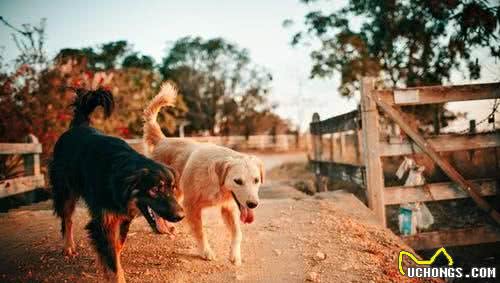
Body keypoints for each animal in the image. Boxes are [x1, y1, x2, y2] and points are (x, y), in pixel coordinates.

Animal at [49, 87, 184, 282]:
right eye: (154, 189)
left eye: (172, 188)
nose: (181, 216)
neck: (121, 177)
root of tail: (78, 126)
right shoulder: (103, 222)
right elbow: (112, 259)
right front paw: (114, 272)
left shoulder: (123, 217)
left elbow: (116, 247)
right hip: (65, 191)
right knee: (67, 219)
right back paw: (68, 246)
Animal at [142, 82, 264, 266]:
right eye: (238, 181)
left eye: (256, 180)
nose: (253, 204)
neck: (215, 182)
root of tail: (163, 139)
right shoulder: (191, 206)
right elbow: (200, 232)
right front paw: (205, 251)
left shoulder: (228, 207)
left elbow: (238, 233)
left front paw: (235, 255)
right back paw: (162, 228)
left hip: (177, 192)